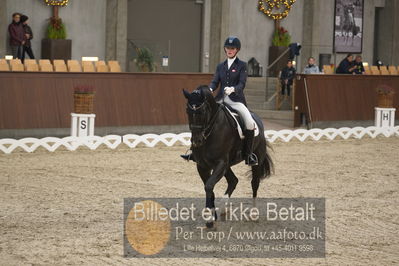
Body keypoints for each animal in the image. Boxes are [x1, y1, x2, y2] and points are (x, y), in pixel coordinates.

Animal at [183, 86, 274, 228]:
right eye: (187, 111)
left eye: (202, 111)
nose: (197, 141)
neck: (211, 132)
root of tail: (257, 119)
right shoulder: (202, 166)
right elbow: (209, 188)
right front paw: (212, 216)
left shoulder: (220, 163)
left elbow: (209, 186)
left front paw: (209, 218)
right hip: (227, 166)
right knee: (233, 181)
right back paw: (224, 209)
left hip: (255, 161)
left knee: (254, 183)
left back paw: (254, 213)